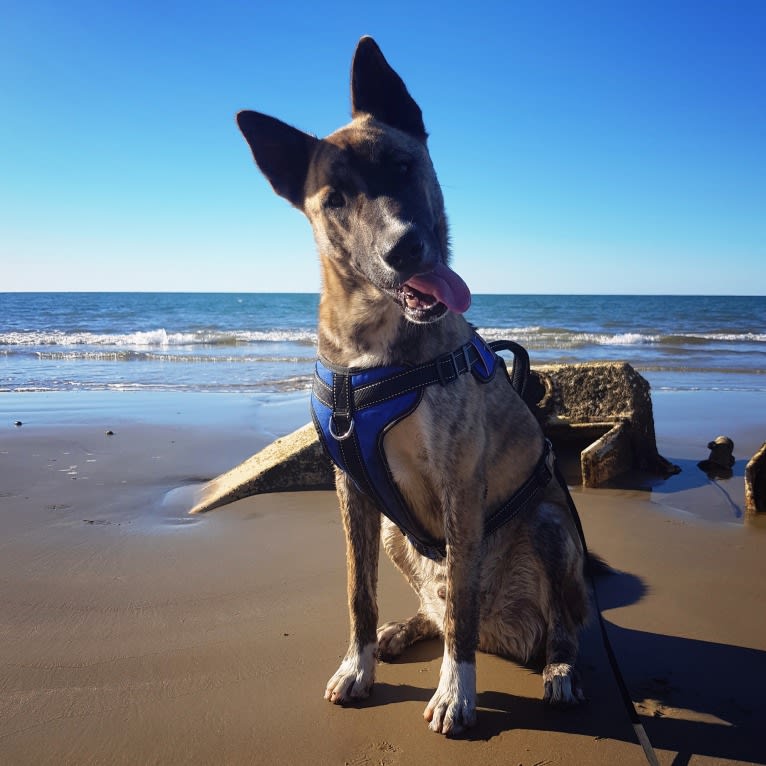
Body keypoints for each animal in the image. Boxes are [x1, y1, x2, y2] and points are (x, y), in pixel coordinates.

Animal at [237, 37, 592, 736]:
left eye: (403, 166)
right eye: (335, 199)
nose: (405, 249)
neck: (376, 349)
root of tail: (512, 636)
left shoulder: (459, 482)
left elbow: (460, 614)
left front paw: (456, 692)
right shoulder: (352, 488)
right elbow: (359, 593)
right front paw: (359, 664)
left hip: (548, 525)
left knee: (552, 619)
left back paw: (560, 668)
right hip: (397, 533)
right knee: (437, 604)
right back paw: (403, 631)